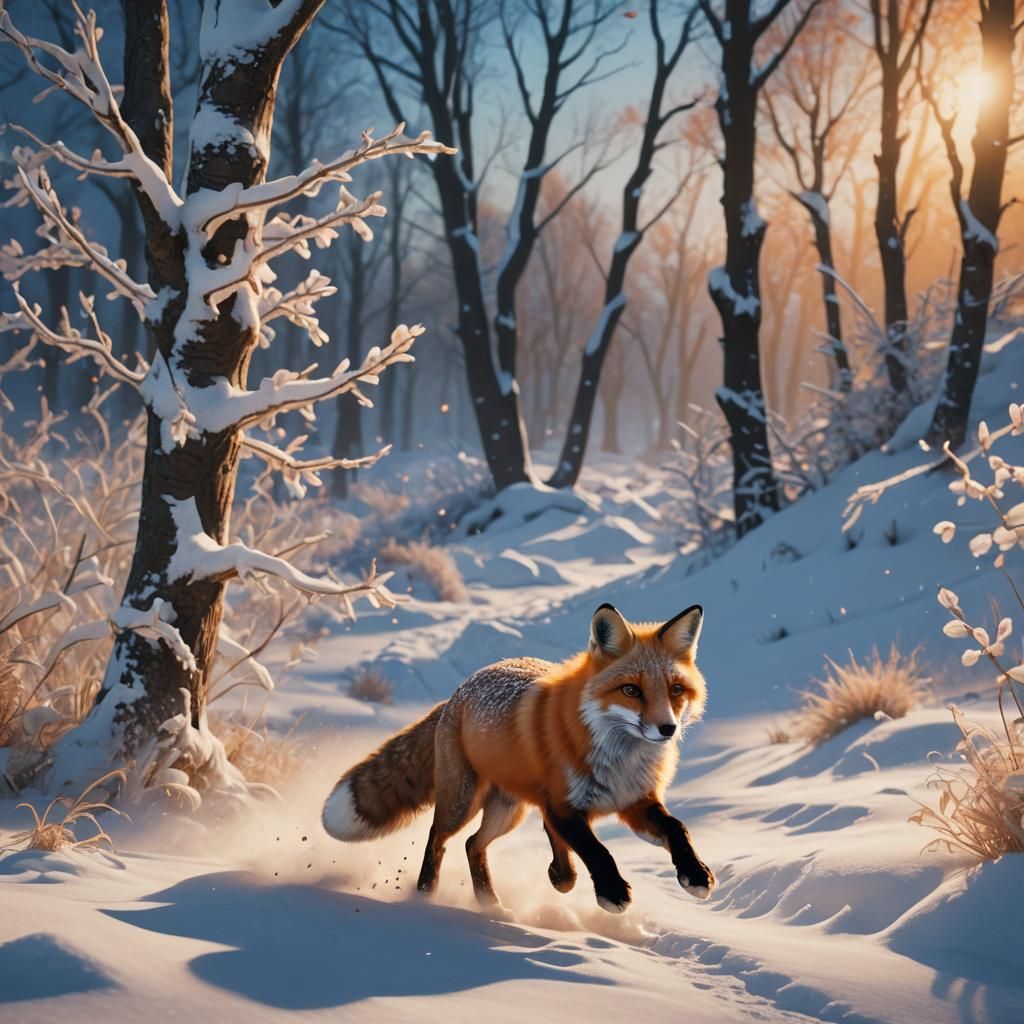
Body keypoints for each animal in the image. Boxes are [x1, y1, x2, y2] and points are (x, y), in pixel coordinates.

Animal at [322, 602, 715, 913]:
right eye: (631, 690)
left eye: (675, 690)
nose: (667, 728)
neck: (621, 759)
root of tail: (457, 692)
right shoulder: (565, 804)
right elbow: (597, 849)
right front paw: (612, 891)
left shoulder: (634, 801)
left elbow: (676, 827)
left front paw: (695, 873)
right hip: (463, 802)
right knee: (439, 838)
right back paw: (425, 895)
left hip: (508, 810)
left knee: (474, 844)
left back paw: (498, 898)